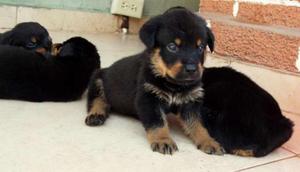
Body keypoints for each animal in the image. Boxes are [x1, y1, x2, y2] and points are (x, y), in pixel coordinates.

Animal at [84, 7, 225, 155]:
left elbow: (198, 125)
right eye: (172, 47)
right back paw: (96, 115)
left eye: (200, 47)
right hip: (97, 79)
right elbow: (158, 123)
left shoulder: (190, 102)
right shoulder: (149, 99)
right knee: (97, 100)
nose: (192, 69)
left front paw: (208, 141)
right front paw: (163, 140)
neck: (174, 84)